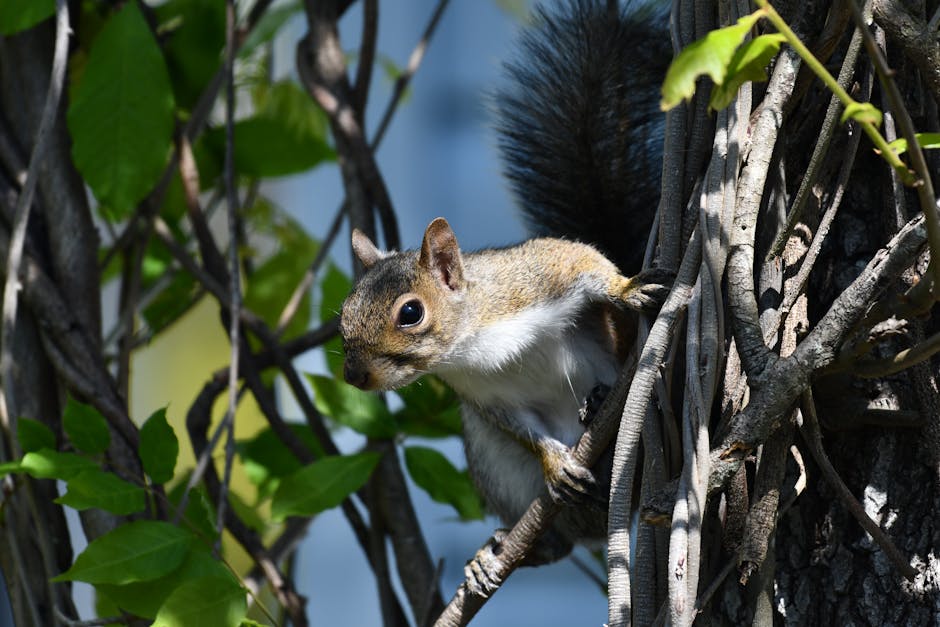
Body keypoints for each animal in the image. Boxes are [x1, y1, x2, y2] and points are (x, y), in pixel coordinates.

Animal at [338, 0, 668, 588]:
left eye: (410, 312)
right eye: (344, 313)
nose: (355, 376)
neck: (474, 344)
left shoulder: (538, 275)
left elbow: (587, 263)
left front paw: (628, 288)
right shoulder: (487, 401)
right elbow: (522, 429)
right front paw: (554, 461)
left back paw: (602, 401)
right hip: (495, 466)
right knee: (559, 544)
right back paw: (497, 555)